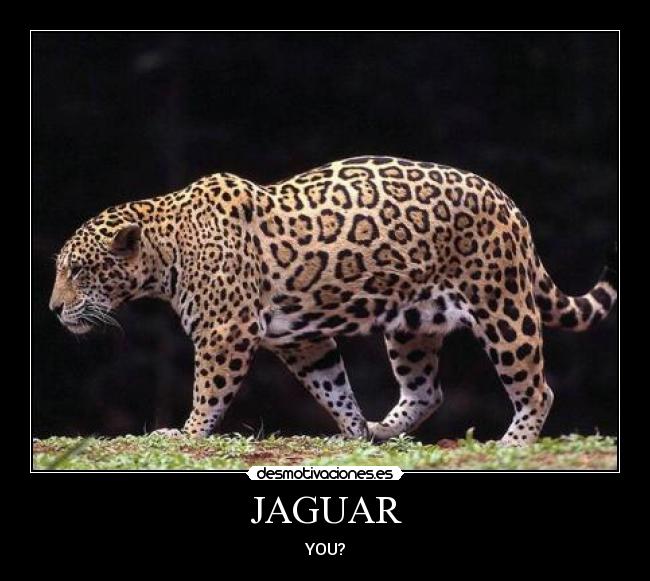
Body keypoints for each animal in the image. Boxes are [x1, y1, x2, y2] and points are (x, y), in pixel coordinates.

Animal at [49, 156, 618, 445]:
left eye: (77, 270)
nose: (54, 308)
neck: (166, 249)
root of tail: (509, 202)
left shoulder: (226, 333)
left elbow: (208, 391)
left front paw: (186, 434)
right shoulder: (302, 342)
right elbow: (333, 387)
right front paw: (352, 431)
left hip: (502, 306)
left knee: (537, 387)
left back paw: (513, 444)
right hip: (412, 324)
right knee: (426, 391)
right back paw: (382, 428)